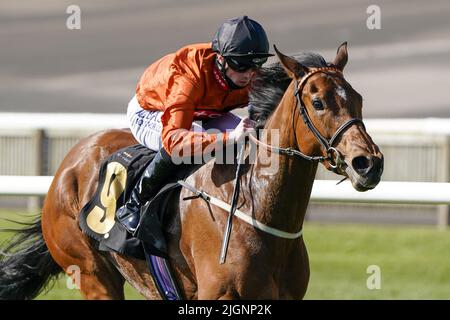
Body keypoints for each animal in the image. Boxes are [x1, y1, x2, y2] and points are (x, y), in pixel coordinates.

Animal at [0, 43, 384, 300]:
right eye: (318, 103)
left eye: (359, 99)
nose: (369, 163)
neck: (256, 205)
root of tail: (69, 164)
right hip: (92, 274)